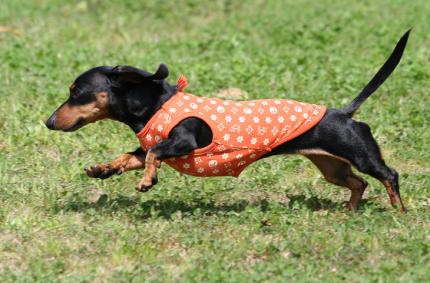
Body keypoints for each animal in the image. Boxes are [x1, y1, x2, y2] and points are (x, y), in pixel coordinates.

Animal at [46, 31, 410, 213]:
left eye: (76, 92)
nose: (49, 122)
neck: (156, 105)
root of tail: (343, 113)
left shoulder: (184, 142)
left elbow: (153, 153)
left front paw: (148, 180)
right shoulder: (150, 145)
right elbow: (132, 155)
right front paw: (104, 168)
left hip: (361, 154)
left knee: (389, 175)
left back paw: (398, 209)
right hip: (331, 167)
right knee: (358, 184)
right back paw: (350, 210)